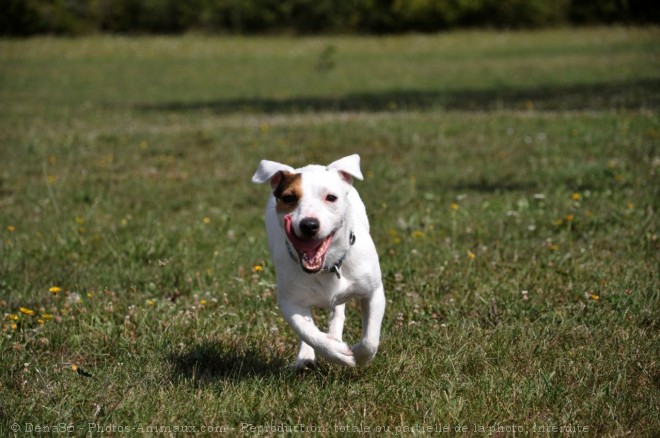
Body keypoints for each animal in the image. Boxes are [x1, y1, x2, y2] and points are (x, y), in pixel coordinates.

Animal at [253, 155, 386, 370]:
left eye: (331, 197)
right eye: (289, 198)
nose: (308, 225)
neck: (326, 266)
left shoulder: (373, 291)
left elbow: (370, 340)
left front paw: (358, 355)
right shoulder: (289, 301)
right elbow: (307, 331)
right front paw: (336, 352)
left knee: (338, 310)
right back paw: (307, 356)